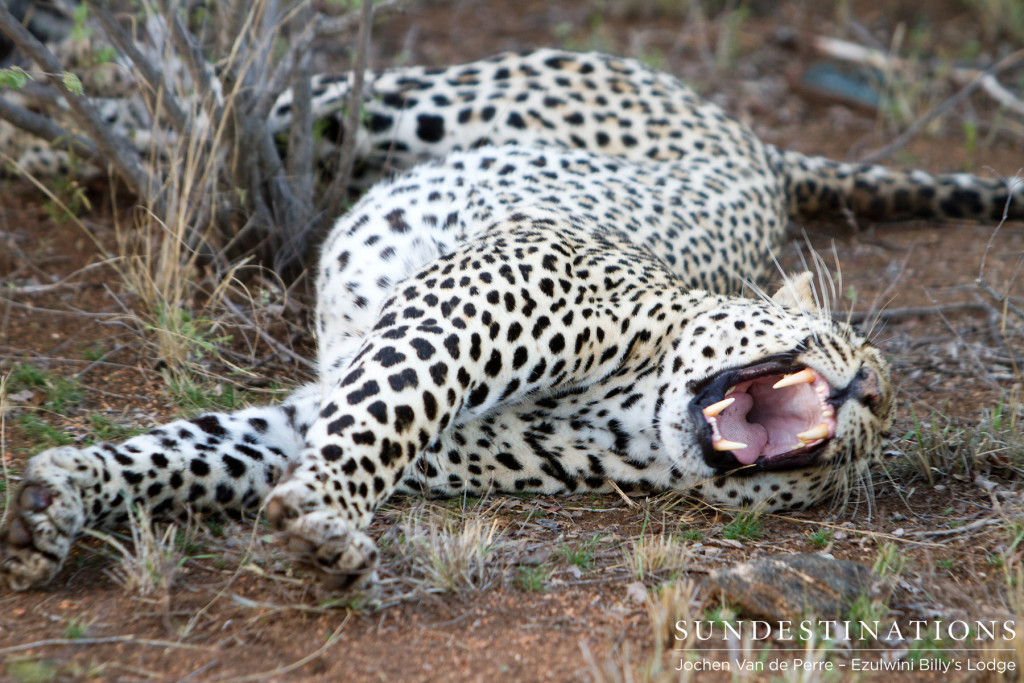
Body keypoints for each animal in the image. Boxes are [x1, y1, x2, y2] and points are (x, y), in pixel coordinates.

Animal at [0, 49, 1019, 593]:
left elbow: (188, 453)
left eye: (862, 449)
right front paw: (330, 518)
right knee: (201, 107)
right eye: (837, 344)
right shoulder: (489, 291)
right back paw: (32, 129)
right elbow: (387, 415)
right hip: (413, 105)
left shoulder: (298, 416)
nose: (873, 388)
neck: (627, 420)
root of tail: (764, 149)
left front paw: (59, 496)